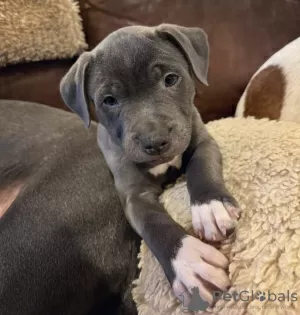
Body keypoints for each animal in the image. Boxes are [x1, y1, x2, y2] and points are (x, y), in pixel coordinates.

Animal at [59, 23, 240, 304]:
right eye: (109, 100)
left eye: (171, 79)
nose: (155, 141)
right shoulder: (135, 195)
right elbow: (153, 222)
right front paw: (189, 263)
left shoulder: (202, 141)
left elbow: (202, 167)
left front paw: (210, 208)